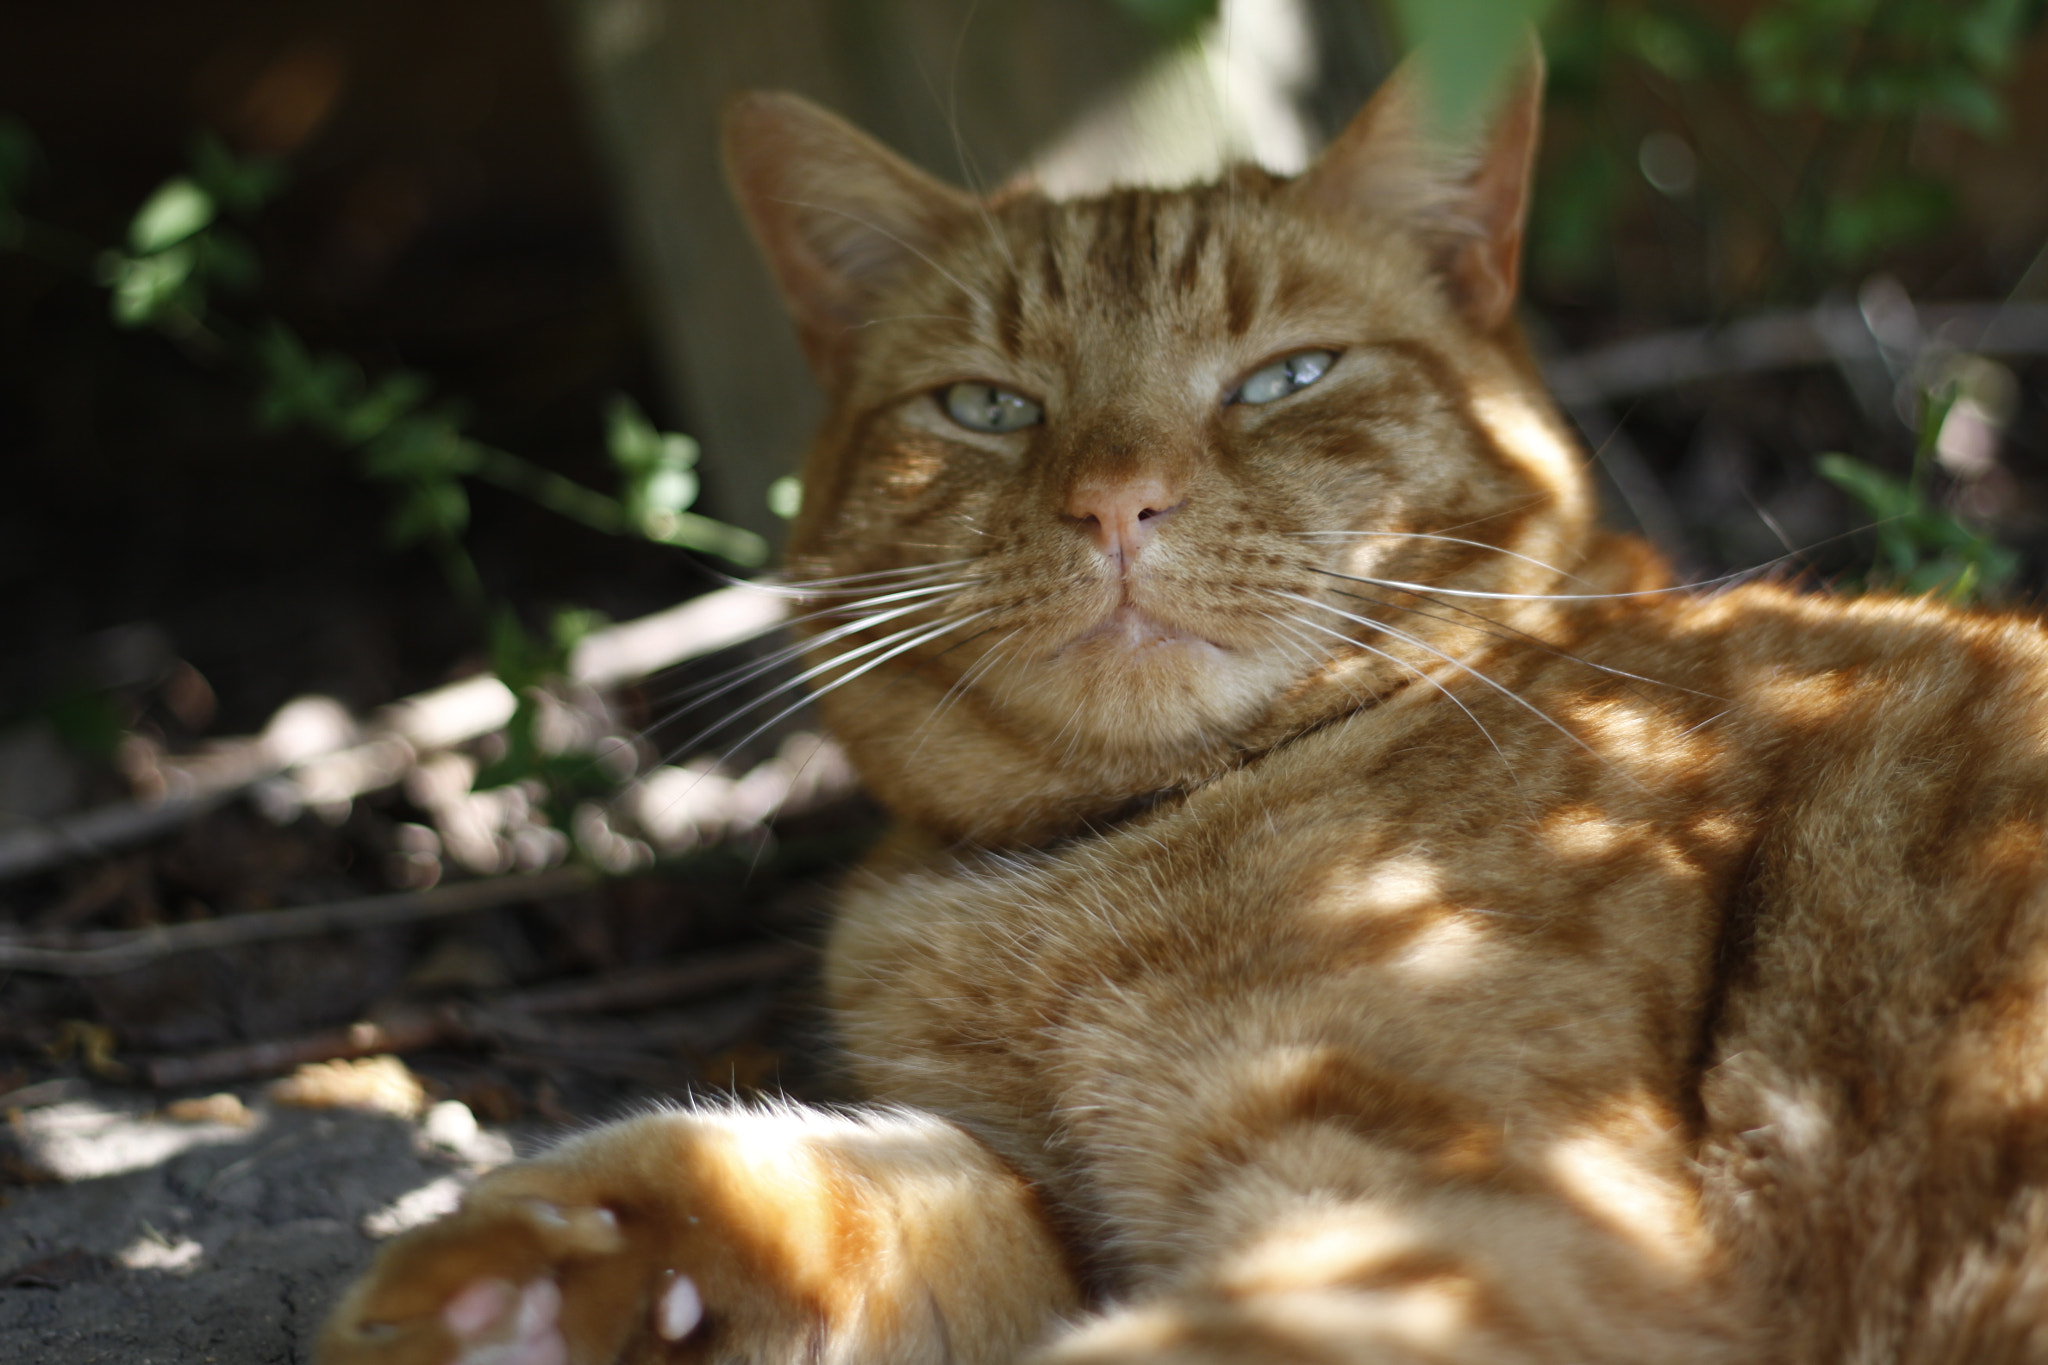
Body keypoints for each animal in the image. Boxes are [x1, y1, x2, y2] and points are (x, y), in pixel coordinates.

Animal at [323, 56, 2048, 1365]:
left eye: (1285, 378)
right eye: (987, 405)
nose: (1116, 501)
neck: (1105, 856)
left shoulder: (1486, 1222)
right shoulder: (1066, 1194)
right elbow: (855, 1181)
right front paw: (541, 1280)